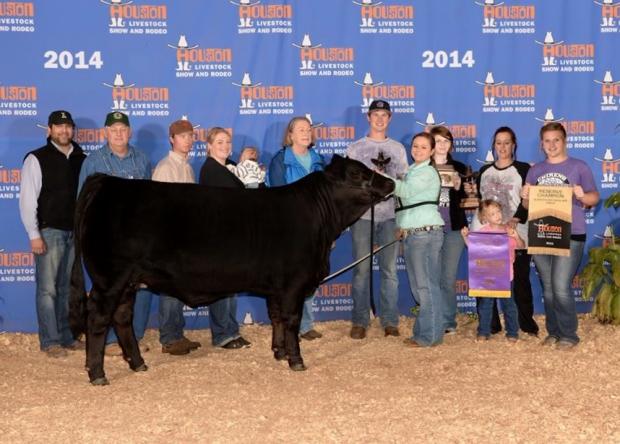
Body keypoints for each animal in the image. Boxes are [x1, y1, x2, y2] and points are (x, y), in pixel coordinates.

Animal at [69, 154, 395, 385]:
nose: (390, 183)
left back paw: (138, 364)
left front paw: (278, 352)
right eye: (357, 173)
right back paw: (97, 374)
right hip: (110, 278)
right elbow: (291, 320)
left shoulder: (277, 287)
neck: (319, 221)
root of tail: (108, 181)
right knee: (98, 318)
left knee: (122, 317)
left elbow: (276, 317)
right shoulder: (293, 283)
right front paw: (296, 360)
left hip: (128, 280)